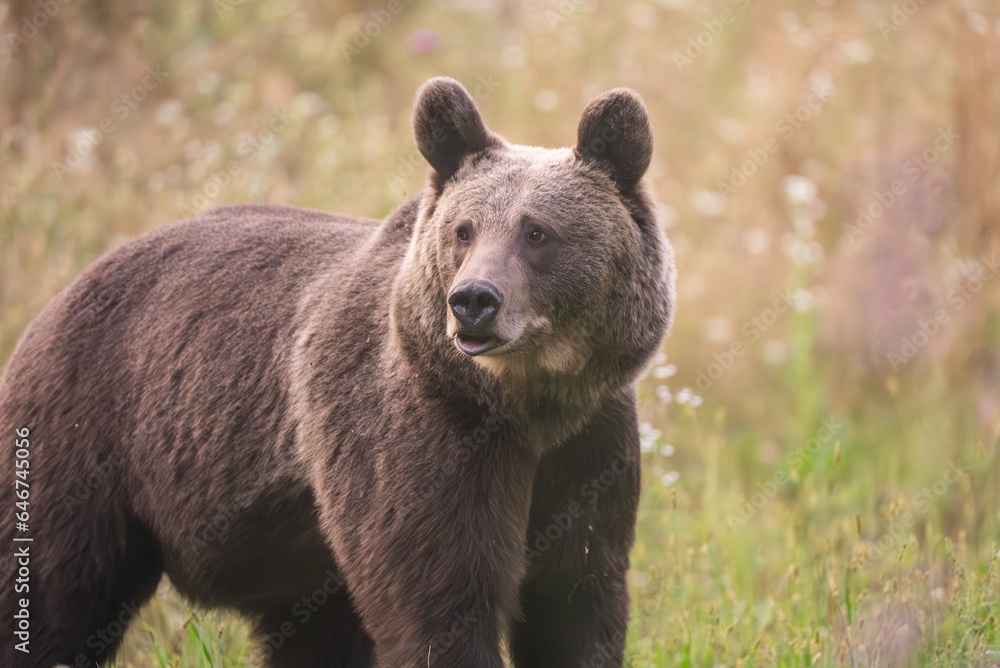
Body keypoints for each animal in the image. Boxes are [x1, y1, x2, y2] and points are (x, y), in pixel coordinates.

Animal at [0, 79, 676, 668]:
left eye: (537, 232)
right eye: (463, 230)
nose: (473, 301)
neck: (523, 404)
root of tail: (65, 294)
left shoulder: (588, 444)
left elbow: (575, 595)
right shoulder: (417, 437)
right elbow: (439, 600)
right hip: (86, 445)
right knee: (53, 590)